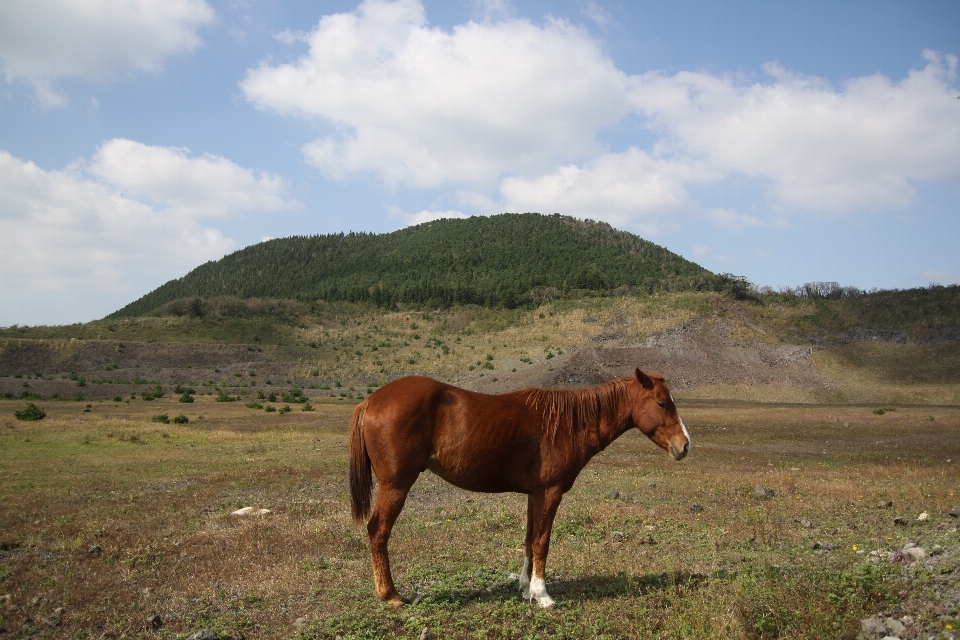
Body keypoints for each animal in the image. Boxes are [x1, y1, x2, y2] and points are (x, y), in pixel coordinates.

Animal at [350, 368, 688, 608]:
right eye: (661, 402)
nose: (684, 445)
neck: (566, 423)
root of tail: (371, 400)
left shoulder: (533, 494)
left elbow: (528, 539)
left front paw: (527, 589)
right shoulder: (550, 492)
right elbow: (542, 542)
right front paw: (543, 594)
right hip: (396, 485)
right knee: (378, 530)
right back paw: (391, 595)